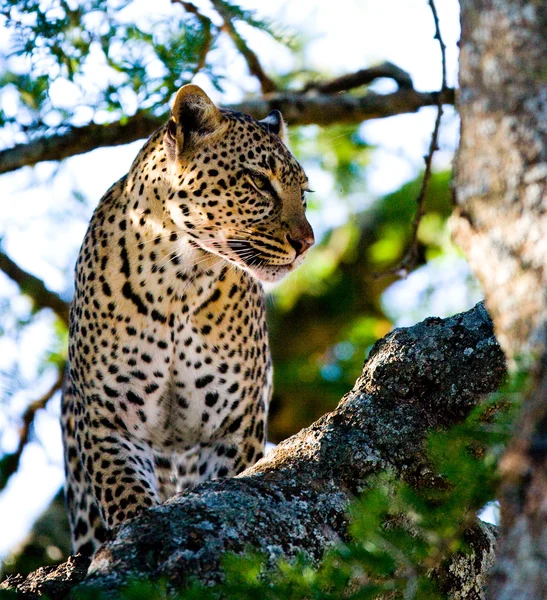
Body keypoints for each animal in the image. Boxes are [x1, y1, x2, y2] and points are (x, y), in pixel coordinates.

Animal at [60, 82, 314, 556]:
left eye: (303, 194)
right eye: (259, 182)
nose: (306, 243)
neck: (180, 280)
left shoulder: (233, 426)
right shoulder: (109, 418)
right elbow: (124, 492)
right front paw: (135, 532)